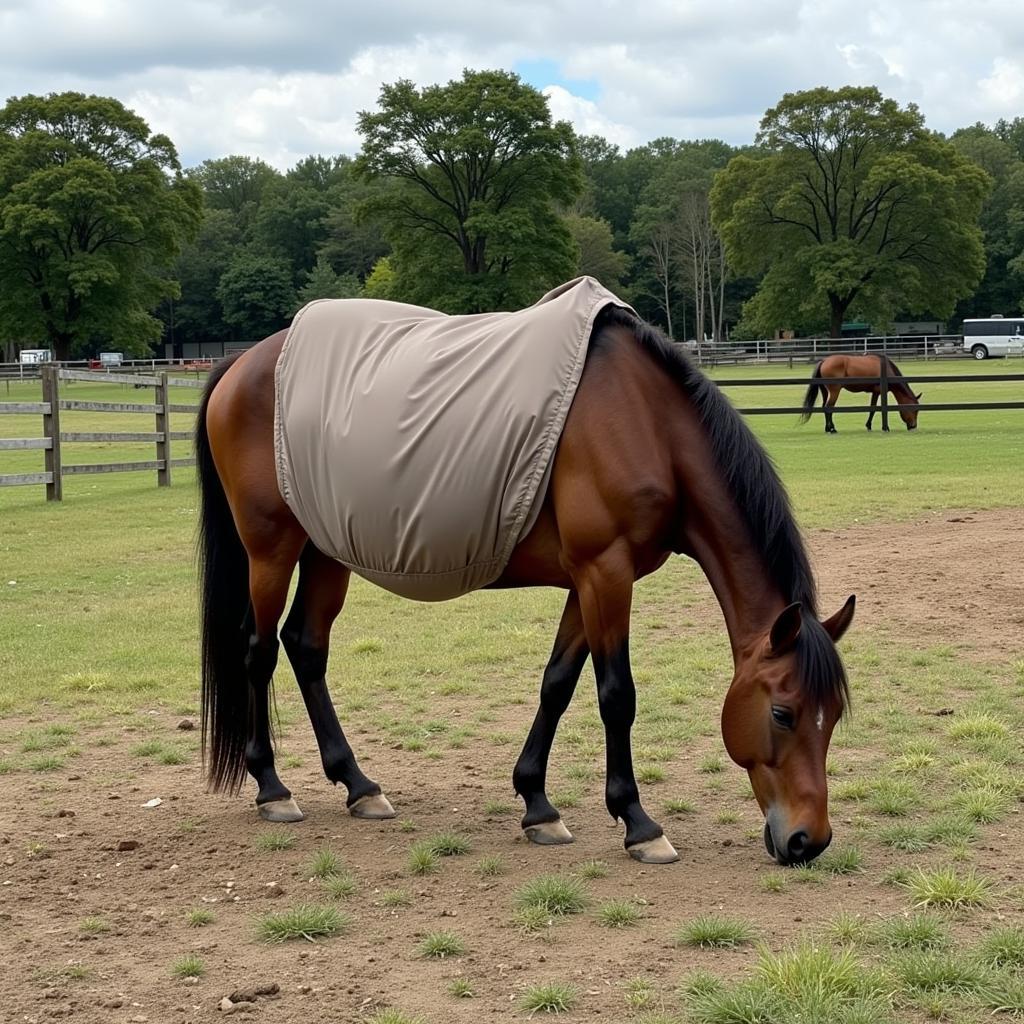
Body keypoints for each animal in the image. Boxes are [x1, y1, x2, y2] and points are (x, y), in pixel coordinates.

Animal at [195, 282, 851, 872]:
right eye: (783, 713)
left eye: (835, 715)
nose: (807, 841)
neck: (646, 421)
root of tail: (242, 362)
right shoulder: (606, 572)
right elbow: (617, 695)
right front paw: (639, 823)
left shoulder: (591, 581)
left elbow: (556, 684)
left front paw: (538, 805)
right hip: (272, 550)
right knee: (259, 651)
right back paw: (273, 789)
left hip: (327, 551)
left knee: (305, 646)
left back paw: (359, 784)